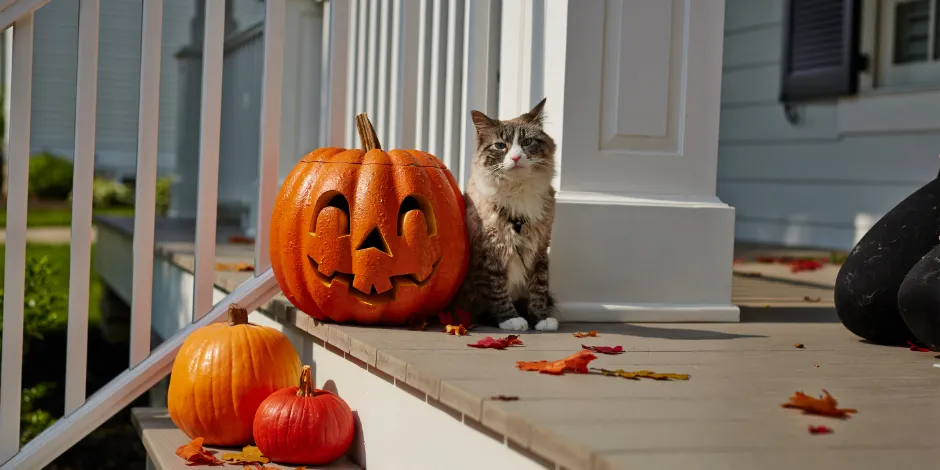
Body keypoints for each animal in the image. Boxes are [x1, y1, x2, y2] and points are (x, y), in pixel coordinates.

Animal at [454, 97, 560, 332]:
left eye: (527, 142)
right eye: (501, 145)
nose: (516, 157)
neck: (517, 192)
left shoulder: (540, 250)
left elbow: (538, 289)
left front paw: (540, 319)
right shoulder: (491, 253)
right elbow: (498, 291)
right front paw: (511, 320)